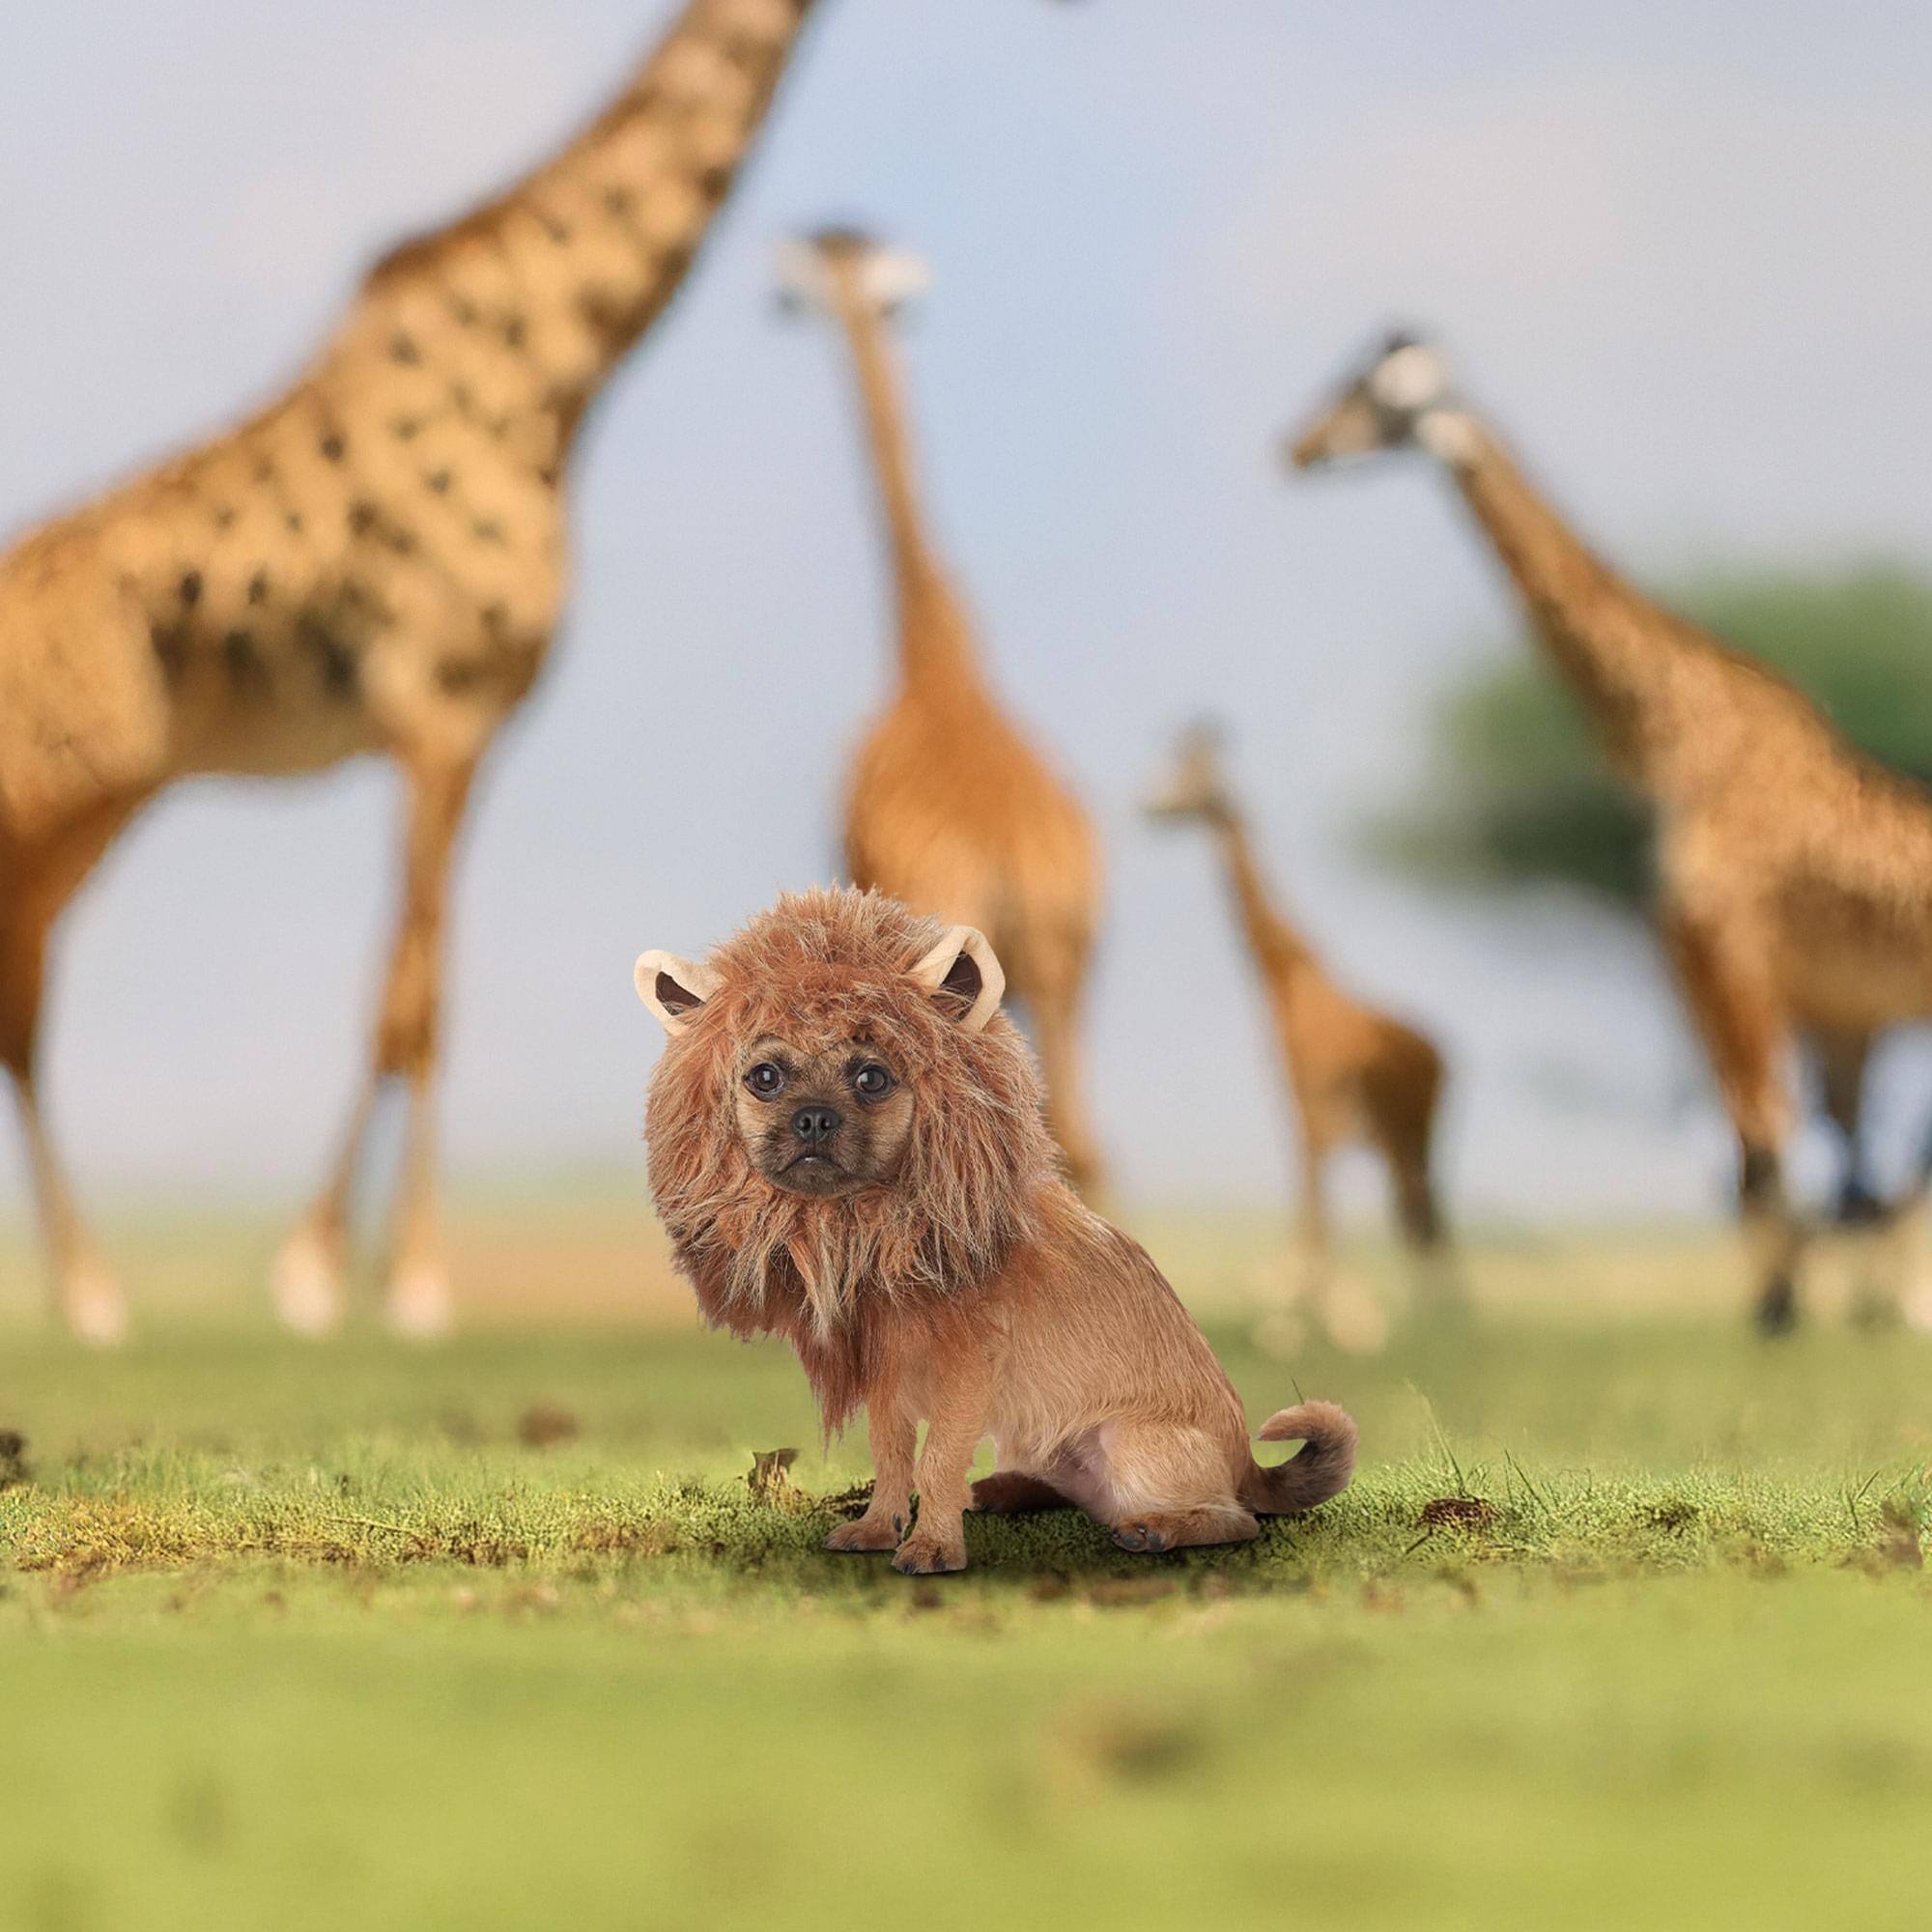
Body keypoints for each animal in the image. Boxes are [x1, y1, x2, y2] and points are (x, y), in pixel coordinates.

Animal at [635, 886, 1357, 1575]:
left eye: (872, 1077)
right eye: (765, 1077)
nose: (812, 1117)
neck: (874, 1227)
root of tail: (1247, 1466)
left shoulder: (965, 1376)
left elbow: (936, 1459)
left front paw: (930, 1546)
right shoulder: (887, 1378)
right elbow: (893, 1456)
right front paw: (878, 1527)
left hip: (1131, 1447)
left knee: (1234, 1519)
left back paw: (1157, 1528)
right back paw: (1005, 1491)